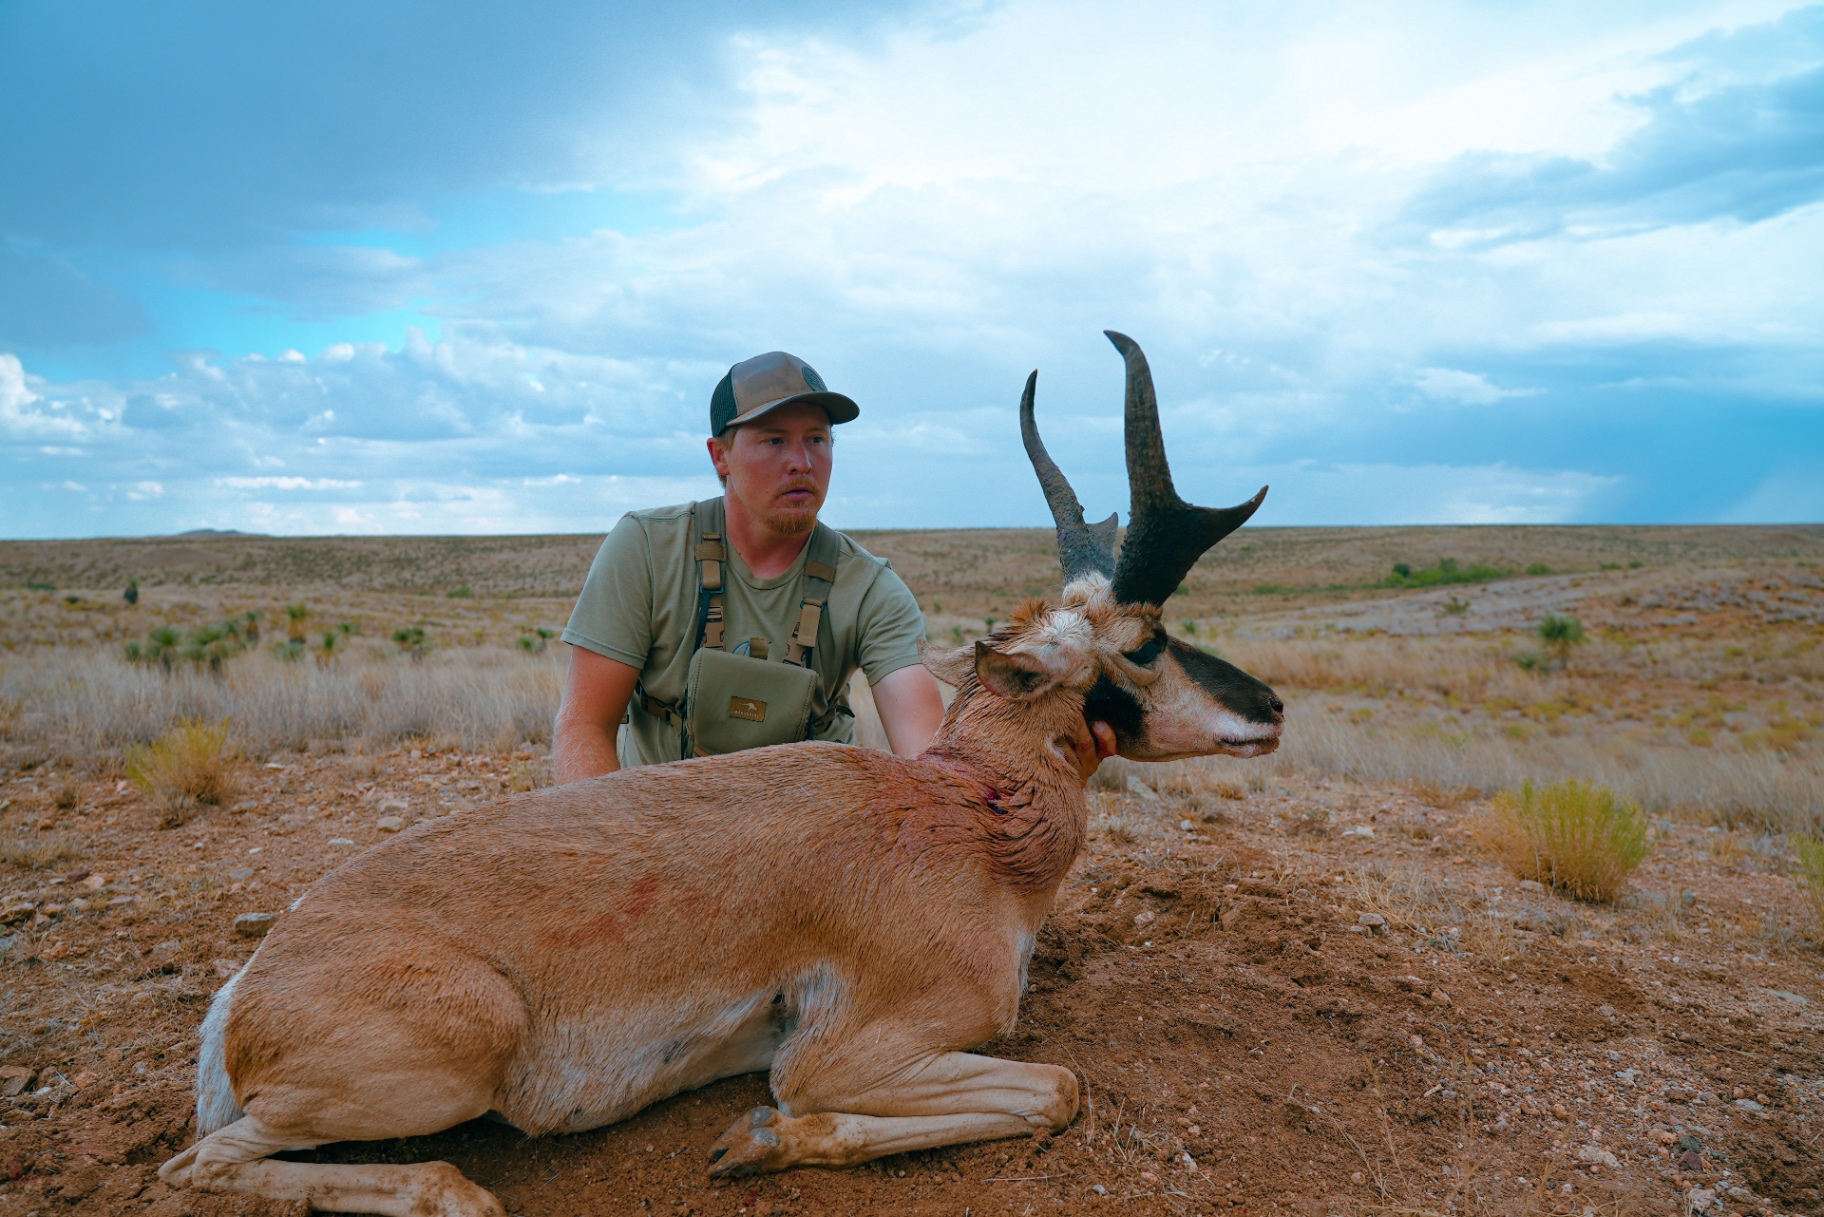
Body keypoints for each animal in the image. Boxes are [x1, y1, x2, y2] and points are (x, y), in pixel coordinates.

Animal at [159, 332, 1284, 1217]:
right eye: (1147, 640)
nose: (1270, 708)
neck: (966, 814)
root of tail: (246, 993)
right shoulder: (841, 1056)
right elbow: (1051, 1086)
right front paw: (757, 1140)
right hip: (450, 1061)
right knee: (199, 1167)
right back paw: (458, 1192)